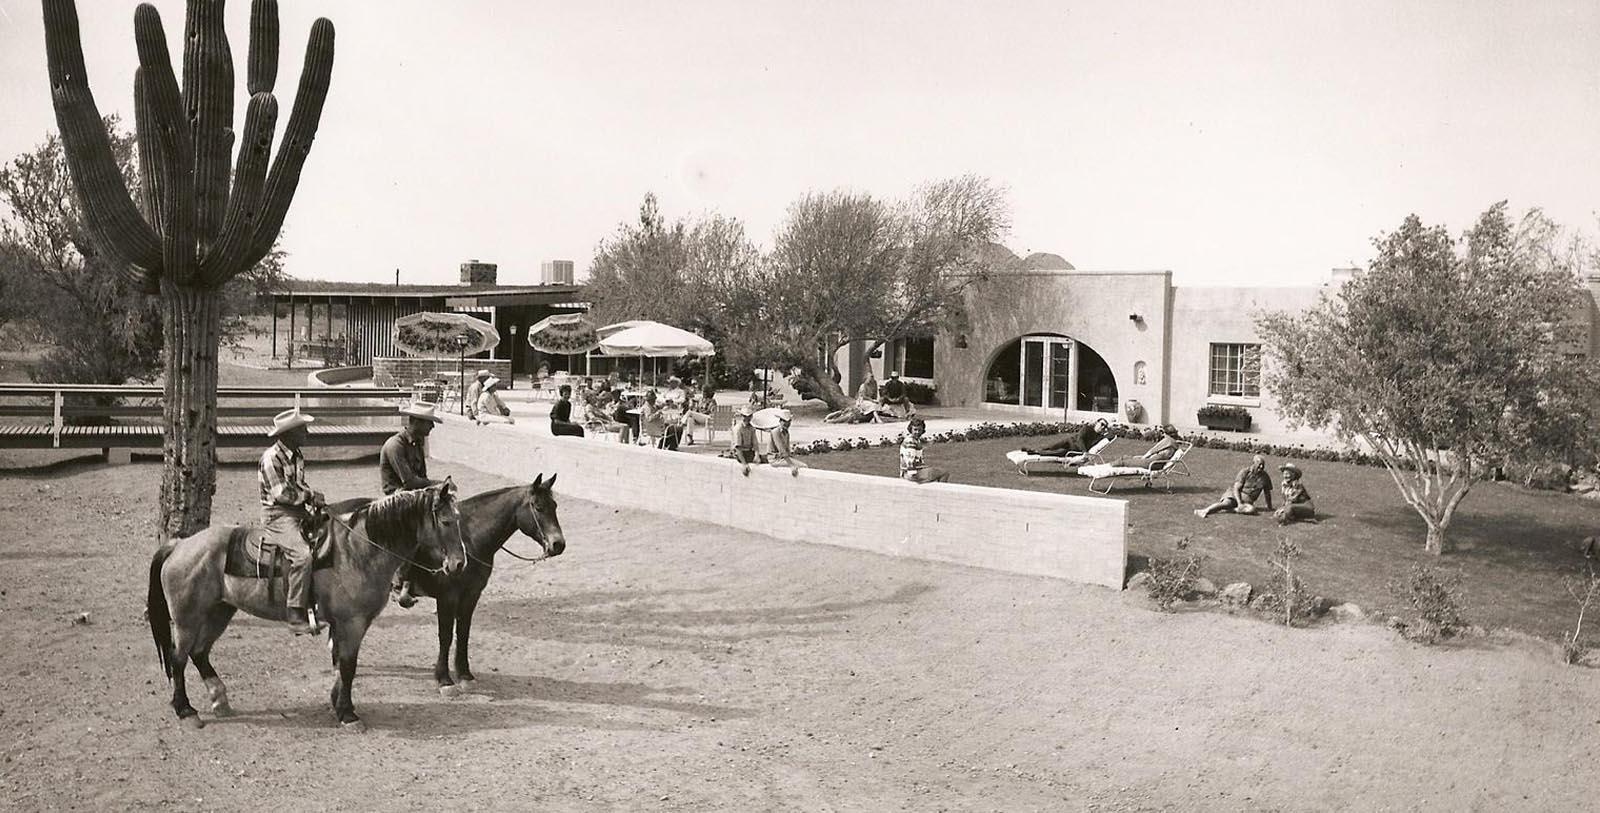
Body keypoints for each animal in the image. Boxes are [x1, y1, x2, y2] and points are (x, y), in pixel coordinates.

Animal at [145, 476, 467, 729]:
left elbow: (340, 664)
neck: (357, 550)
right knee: (178, 657)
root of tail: (179, 545)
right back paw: (185, 710)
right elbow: (348, 665)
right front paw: (348, 714)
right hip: (187, 619)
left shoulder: (345, 624)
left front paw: (338, 703)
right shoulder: (352, 623)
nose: (459, 564)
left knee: (199, 653)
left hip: (219, 611)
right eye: (447, 521)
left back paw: (219, 699)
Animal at [403, 473, 566, 694]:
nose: (558, 544)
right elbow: (445, 636)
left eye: (555, 506)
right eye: (538, 507)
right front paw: (444, 680)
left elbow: (463, 632)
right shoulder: (447, 597)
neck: (468, 540)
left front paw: (465, 675)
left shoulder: (472, 594)